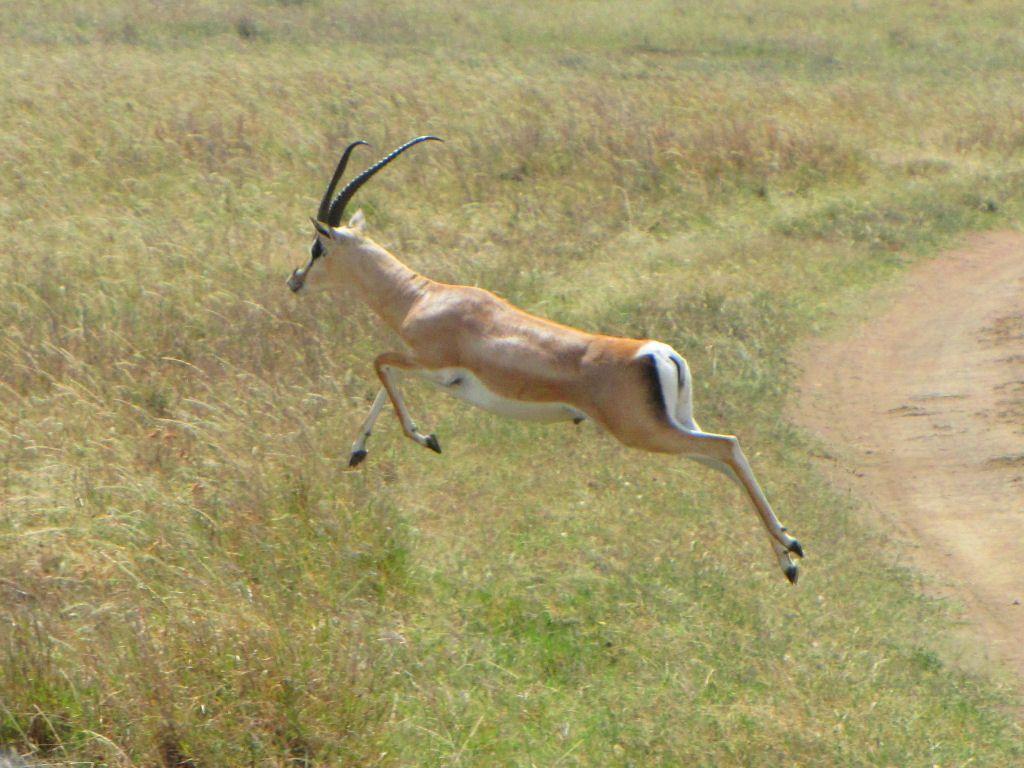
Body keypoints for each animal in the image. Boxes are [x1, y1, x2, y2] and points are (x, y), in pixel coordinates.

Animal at [288, 136, 805, 583]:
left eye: (317, 247)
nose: (294, 280)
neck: (423, 297)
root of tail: (660, 353)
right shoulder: (427, 369)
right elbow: (384, 380)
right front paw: (360, 451)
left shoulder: (432, 366)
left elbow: (379, 365)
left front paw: (424, 439)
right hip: (676, 425)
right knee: (726, 460)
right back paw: (788, 554)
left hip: (644, 432)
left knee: (727, 446)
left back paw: (791, 553)